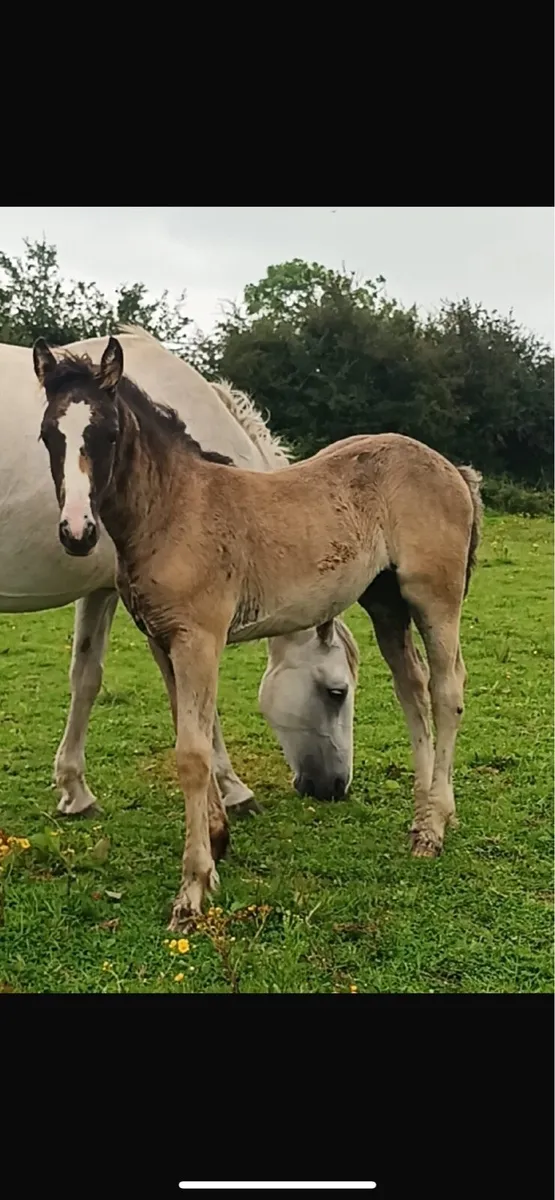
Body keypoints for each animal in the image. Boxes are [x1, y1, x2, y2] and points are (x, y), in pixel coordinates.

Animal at [0, 326, 359, 816]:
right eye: (335, 692)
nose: (336, 786)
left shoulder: (104, 591)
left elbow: (86, 677)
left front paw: (74, 790)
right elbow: (195, 705)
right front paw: (233, 789)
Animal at [34, 336, 482, 929]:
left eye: (106, 433)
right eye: (48, 435)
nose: (77, 533)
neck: (176, 507)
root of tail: (451, 468)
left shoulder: (198, 639)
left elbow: (192, 754)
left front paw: (192, 892)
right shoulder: (161, 640)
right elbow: (192, 735)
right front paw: (218, 841)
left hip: (433, 596)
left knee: (446, 689)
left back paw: (433, 829)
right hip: (385, 602)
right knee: (412, 688)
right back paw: (424, 813)